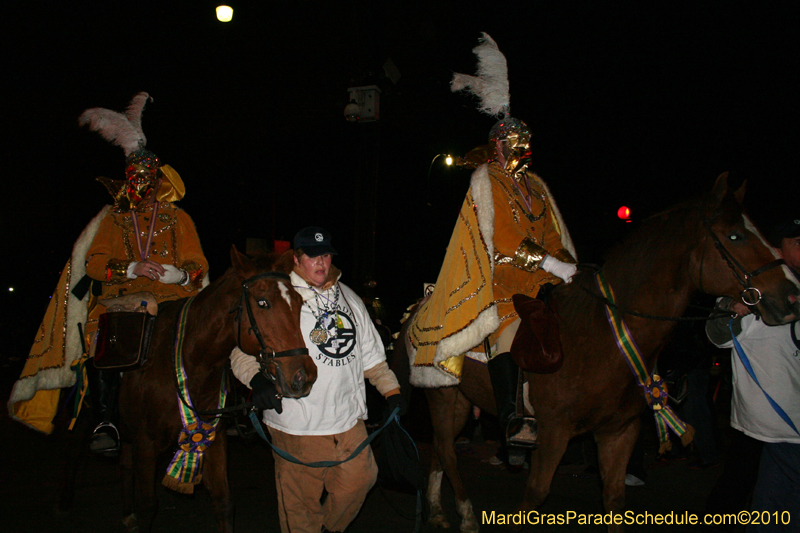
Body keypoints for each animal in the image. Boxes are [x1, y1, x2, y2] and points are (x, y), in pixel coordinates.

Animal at [115, 247, 316, 528]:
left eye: (298, 302)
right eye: (262, 302)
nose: (303, 376)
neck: (190, 364)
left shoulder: (213, 436)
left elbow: (223, 501)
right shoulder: (145, 444)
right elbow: (147, 506)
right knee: (125, 466)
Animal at [400, 174, 800, 528]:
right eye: (735, 235)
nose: (791, 297)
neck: (602, 335)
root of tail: (419, 307)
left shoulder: (619, 432)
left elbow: (614, 500)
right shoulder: (553, 433)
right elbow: (535, 496)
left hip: (460, 398)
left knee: (441, 449)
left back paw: (438, 511)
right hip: (441, 394)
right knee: (447, 450)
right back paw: (466, 514)